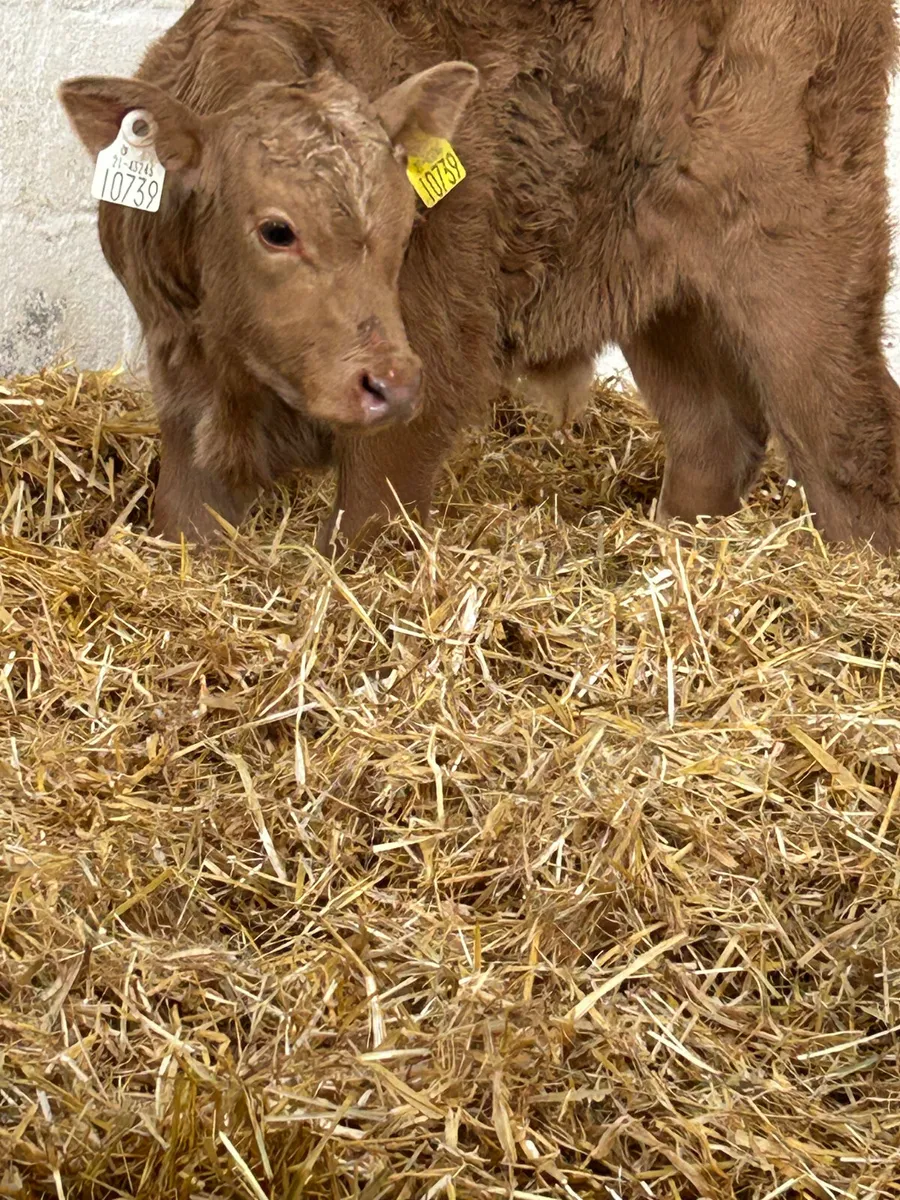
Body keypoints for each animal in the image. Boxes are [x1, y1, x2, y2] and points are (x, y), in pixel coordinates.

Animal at [60, 0, 900, 554]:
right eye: (275, 229)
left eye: (407, 227)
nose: (388, 381)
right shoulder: (183, 381)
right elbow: (185, 528)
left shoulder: (434, 361)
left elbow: (368, 530)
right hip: (664, 290)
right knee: (715, 431)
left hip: (802, 254)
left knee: (851, 448)